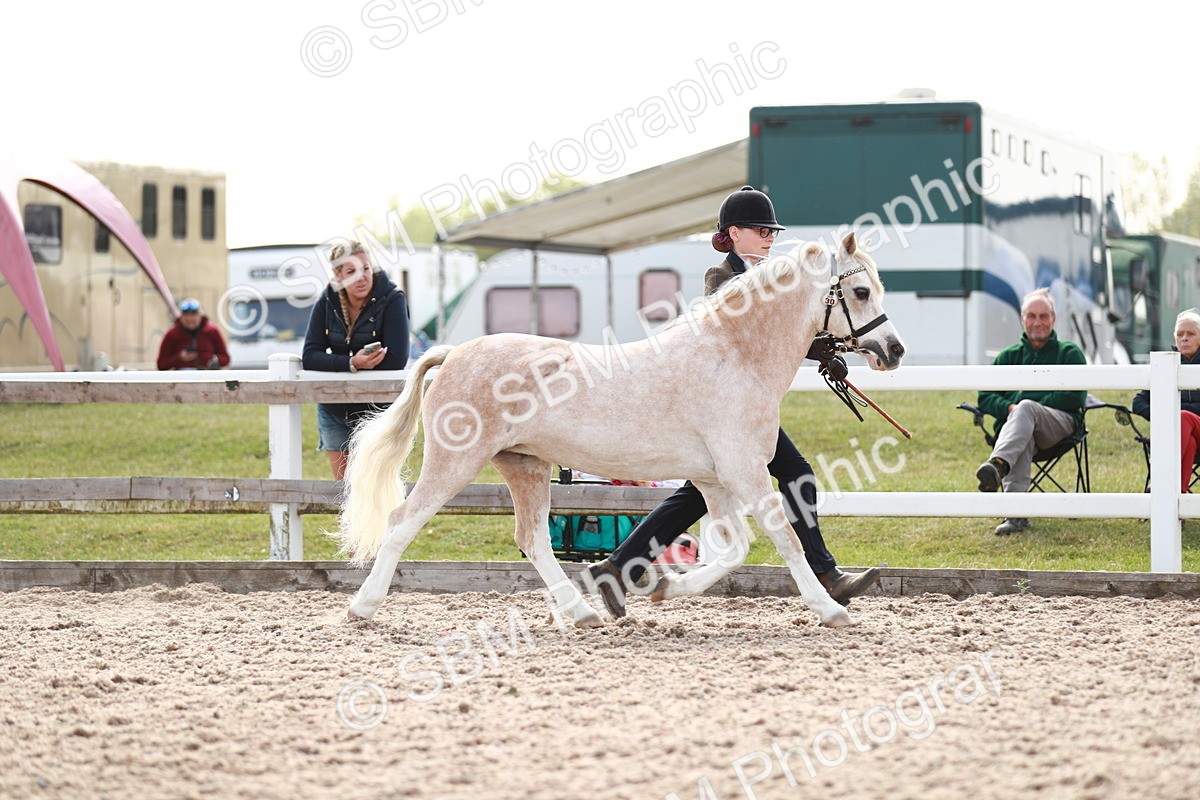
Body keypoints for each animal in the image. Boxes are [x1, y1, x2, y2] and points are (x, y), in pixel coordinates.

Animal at [338, 232, 905, 628]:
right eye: (859, 290)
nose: (894, 350)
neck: (735, 355)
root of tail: (452, 353)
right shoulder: (743, 470)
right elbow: (784, 537)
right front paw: (831, 610)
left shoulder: (714, 478)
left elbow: (733, 551)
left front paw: (661, 588)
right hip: (456, 461)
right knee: (401, 521)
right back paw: (362, 608)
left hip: (525, 464)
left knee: (532, 539)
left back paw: (584, 612)